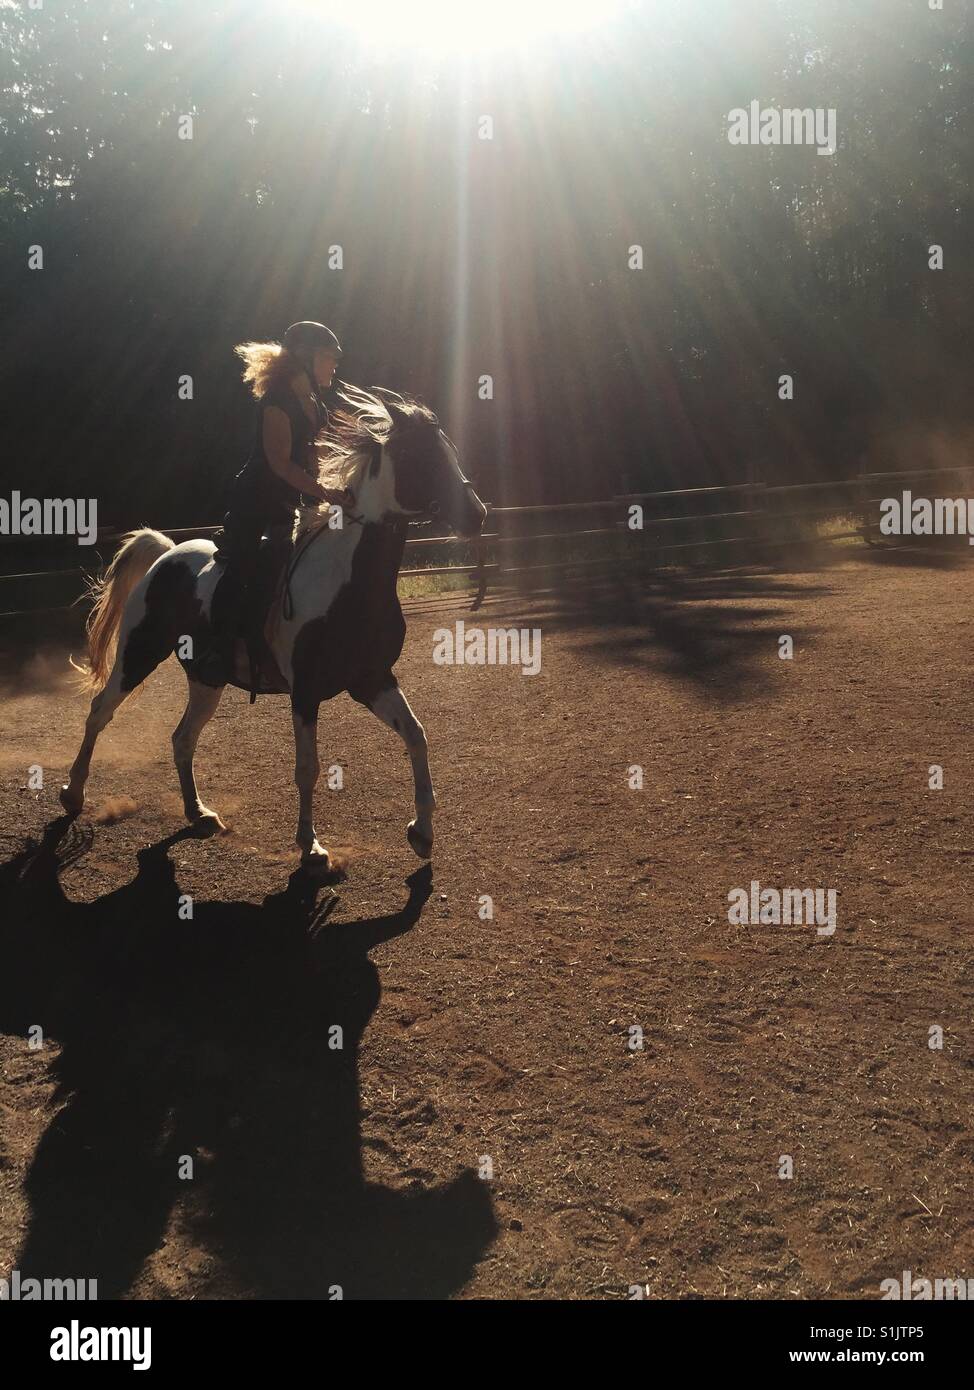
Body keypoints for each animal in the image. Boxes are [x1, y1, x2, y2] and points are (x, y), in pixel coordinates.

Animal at [59, 385, 487, 872]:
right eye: (421, 455)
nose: (477, 515)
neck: (347, 579)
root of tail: (168, 553)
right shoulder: (305, 691)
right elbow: (308, 768)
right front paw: (311, 846)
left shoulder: (373, 679)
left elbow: (416, 735)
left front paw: (422, 832)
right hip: (138, 654)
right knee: (100, 711)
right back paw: (73, 794)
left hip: (206, 680)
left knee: (183, 738)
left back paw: (199, 813)